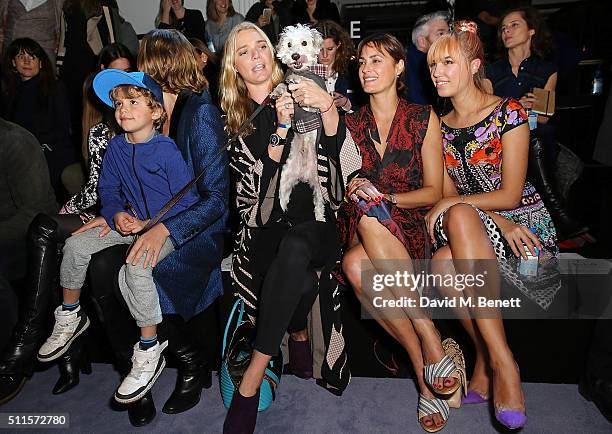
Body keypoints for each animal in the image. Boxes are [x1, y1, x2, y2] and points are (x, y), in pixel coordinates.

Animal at [274, 23, 328, 220]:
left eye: (304, 43)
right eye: (289, 44)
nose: (295, 55)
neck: (302, 70)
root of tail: (305, 175)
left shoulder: (313, 105)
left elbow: (301, 82)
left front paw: (296, 79)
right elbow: (282, 85)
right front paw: (277, 90)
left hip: (320, 187)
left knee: (319, 206)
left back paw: (320, 219)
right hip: (285, 178)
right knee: (282, 198)